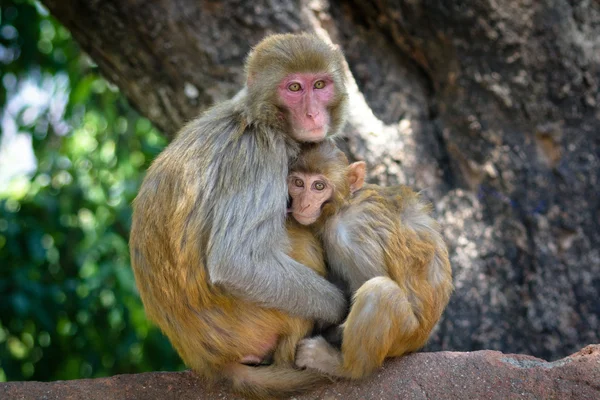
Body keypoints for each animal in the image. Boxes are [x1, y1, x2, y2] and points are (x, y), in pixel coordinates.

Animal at [129, 34, 350, 396]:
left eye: (319, 85)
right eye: (294, 87)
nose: (312, 113)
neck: (261, 117)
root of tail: (206, 361)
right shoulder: (260, 152)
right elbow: (236, 261)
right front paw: (340, 307)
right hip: (252, 325)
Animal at [288, 141, 452, 378]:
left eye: (319, 186)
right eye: (298, 183)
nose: (304, 204)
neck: (344, 204)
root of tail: (419, 340)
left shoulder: (349, 236)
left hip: (403, 336)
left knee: (381, 291)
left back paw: (342, 365)